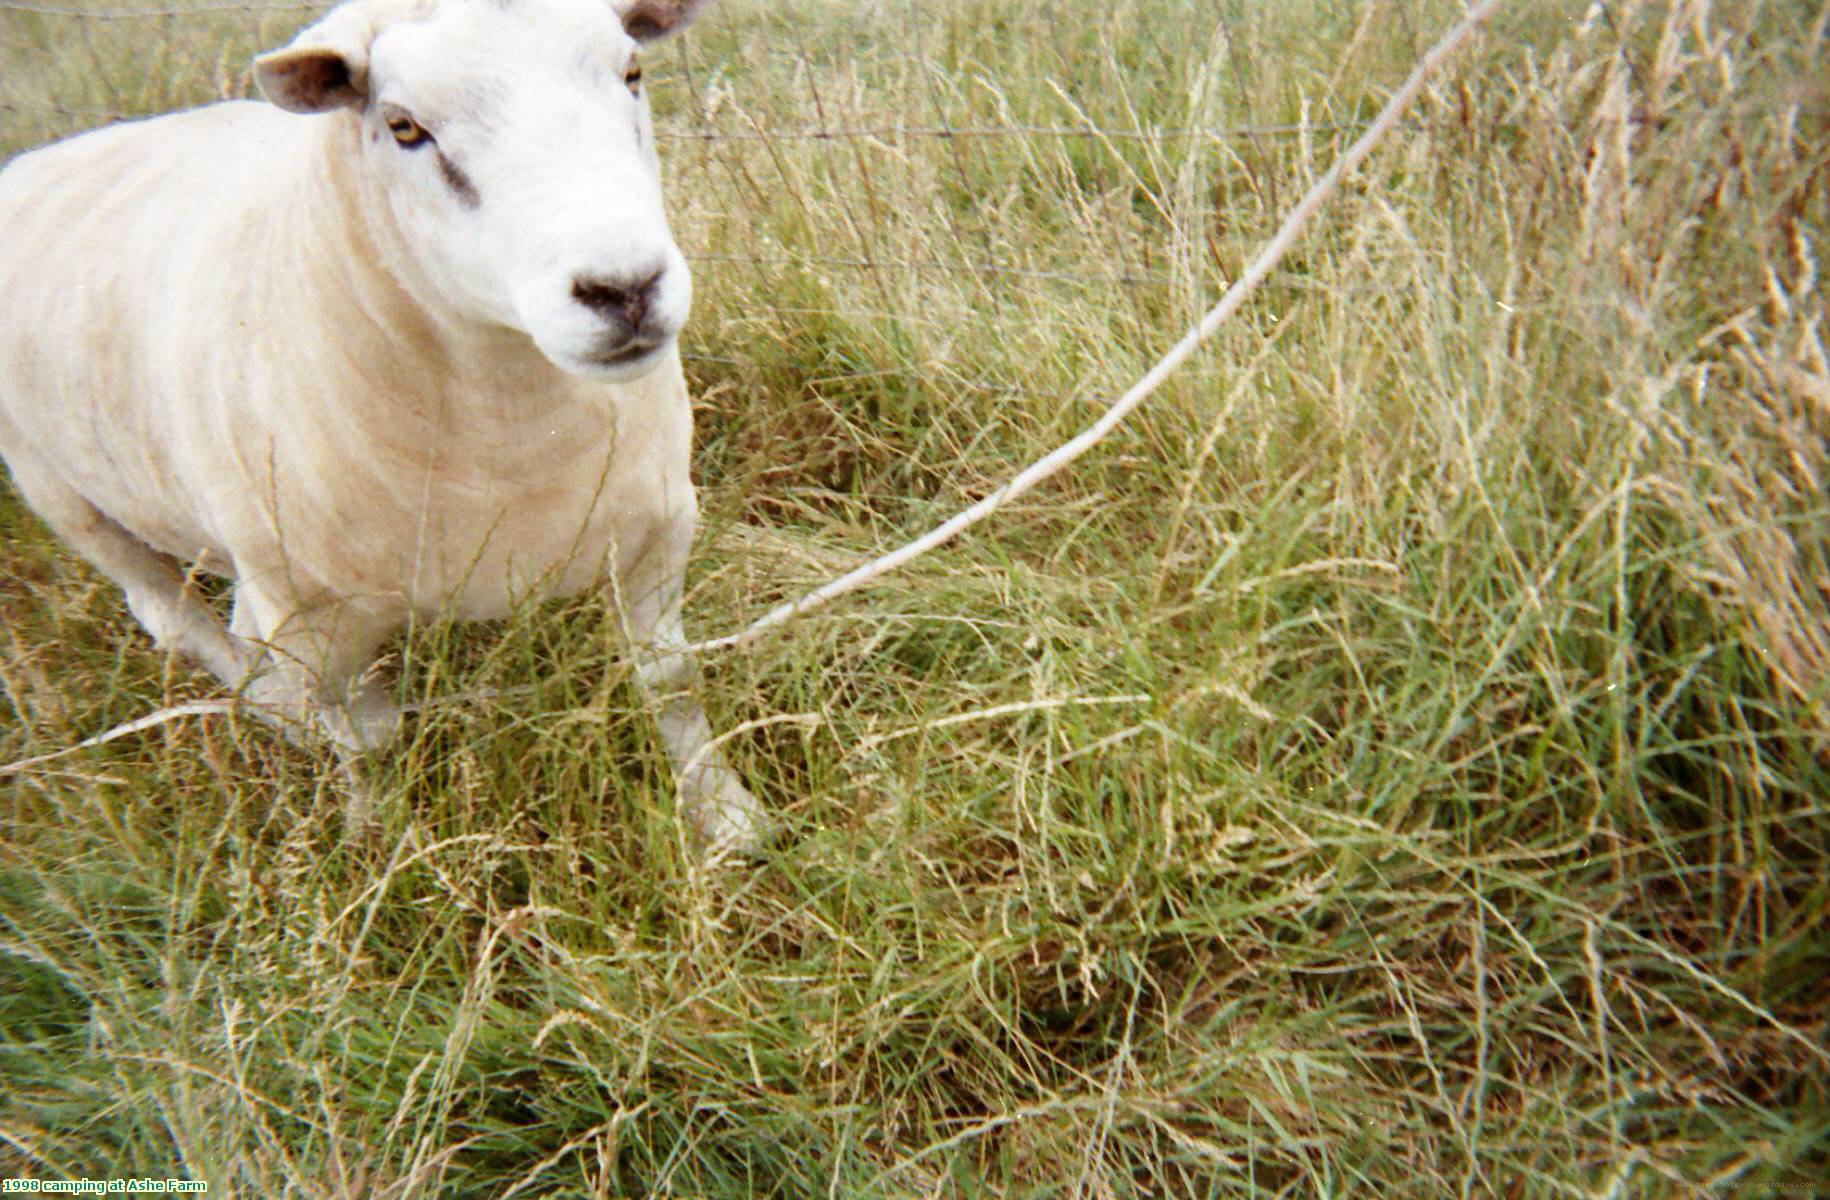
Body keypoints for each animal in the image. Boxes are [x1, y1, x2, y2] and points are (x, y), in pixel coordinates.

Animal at [0, 0, 764, 848]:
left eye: (632, 72)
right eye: (402, 126)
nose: (624, 287)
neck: (514, 437)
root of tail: (37, 158)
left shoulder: (658, 533)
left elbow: (669, 678)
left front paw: (725, 816)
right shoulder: (310, 627)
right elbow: (367, 742)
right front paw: (381, 838)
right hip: (60, 495)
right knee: (169, 615)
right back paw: (274, 712)